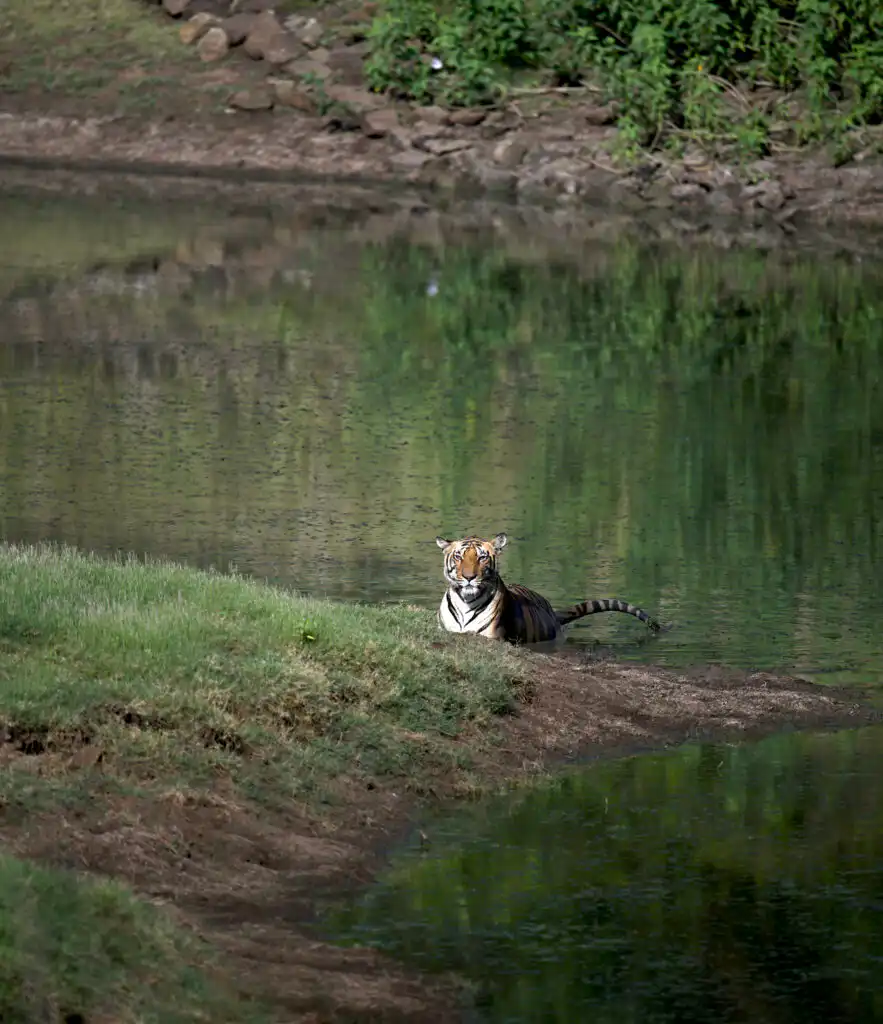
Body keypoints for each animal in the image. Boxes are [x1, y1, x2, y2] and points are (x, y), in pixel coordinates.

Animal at [436, 532, 660, 644]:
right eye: (458, 556)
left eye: (482, 557)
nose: (469, 577)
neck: (466, 602)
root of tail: (552, 611)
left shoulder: (492, 636)